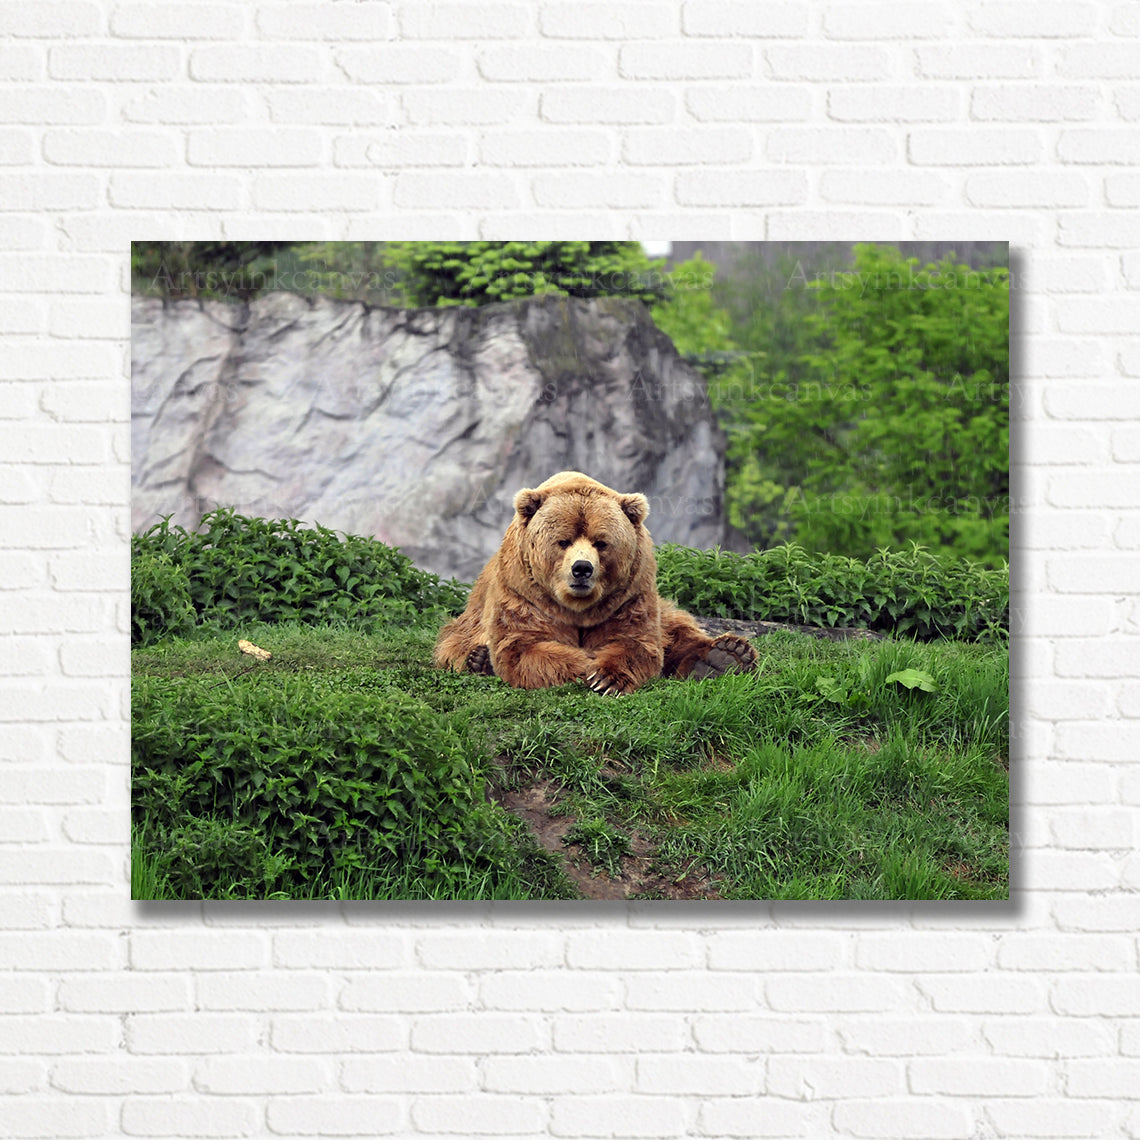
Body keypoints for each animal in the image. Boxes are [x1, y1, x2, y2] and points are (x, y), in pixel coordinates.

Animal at [433, 470, 758, 694]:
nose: (581, 569)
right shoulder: (524, 594)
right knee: (456, 644)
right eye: (563, 541)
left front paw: (606, 677)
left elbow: (637, 642)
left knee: (677, 629)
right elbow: (525, 646)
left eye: (601, 542)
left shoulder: (629, 596)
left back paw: (726, 655)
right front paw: (585, 665)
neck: (577, 608)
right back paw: (478, 660)